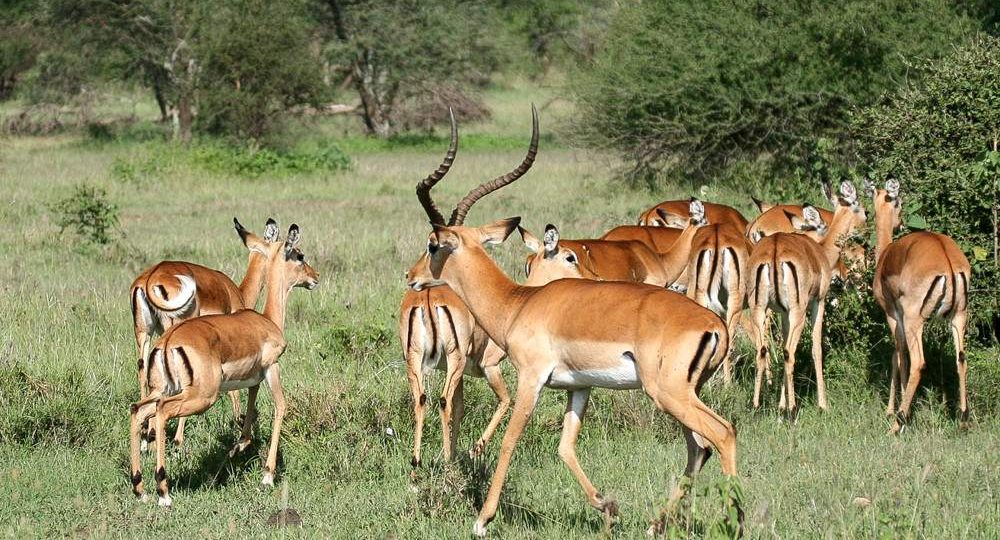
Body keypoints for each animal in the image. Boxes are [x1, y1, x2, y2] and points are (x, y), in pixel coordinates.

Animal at [130, 217, 279, 446]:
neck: (236, 292)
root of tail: (148, 280)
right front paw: (239, 421)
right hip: (173, 329)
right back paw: (174, 438)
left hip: (144, 333)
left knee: (143, 369)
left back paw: (148, 435)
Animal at [400, 107, 538, 465]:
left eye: (432, 245)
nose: (411, 276)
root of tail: (428, 298)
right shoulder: (482, 366)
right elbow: (481, 404)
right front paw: (465, 452)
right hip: (452, 360)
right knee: (443, 400)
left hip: (415, 359)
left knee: (421, 398)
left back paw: (416, 464)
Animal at [747, 181, 867, 413]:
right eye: (864, 210)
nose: (865, 237)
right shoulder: (819, 303)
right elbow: (816, 347)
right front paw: (822, 404)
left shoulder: (784, 312)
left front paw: (781, 404)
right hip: (798, 312)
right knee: (788, 352)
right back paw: (793, 410)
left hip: (760, 308)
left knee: (763, 349)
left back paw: (758, 405)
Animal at [868, 179, 971, 433]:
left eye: (899, 203)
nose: (900, 222)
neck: (886, 255)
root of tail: (947, 259)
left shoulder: (893, 315)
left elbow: (898, 356)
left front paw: (892, 410)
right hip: (959, 316)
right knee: (961, 358)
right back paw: (963, 420)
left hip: (915, 320)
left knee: (917, 362)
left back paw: (898, 423)